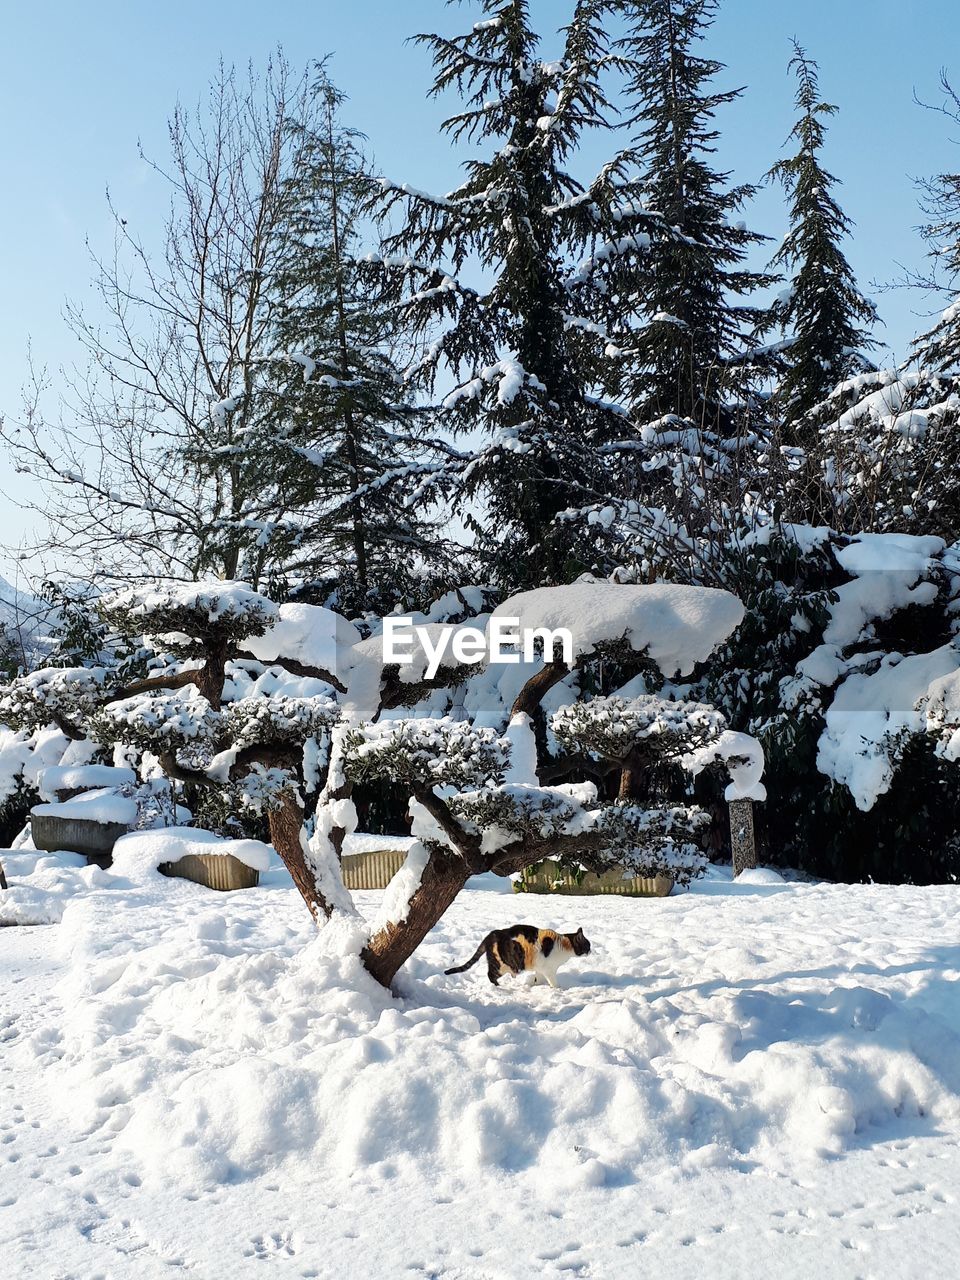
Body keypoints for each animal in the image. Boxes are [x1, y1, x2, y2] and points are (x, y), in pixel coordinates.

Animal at [445, 926, 593, 983]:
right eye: (588, 945)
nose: (591, 951)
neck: (563, 944)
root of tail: (491, 934)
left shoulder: (540, 968)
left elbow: (537, 979)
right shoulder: (549, 970)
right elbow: (553, 983)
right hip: (501, 965)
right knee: (490, 975)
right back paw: (499, 987)